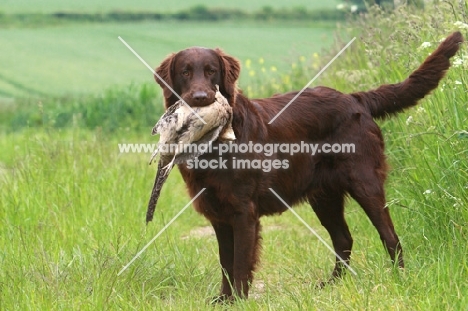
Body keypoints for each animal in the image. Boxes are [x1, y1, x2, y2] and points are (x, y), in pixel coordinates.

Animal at [153, 32, 460, 302]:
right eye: (185, 72)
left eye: (212, 71)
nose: (201, 98)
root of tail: (356, 98)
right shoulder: (218, 214)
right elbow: (225, 263)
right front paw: (223, 299)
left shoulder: (243, 212)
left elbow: (239, 264)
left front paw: (237, 300)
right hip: (324, 196)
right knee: (344, 238)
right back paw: (331, 285)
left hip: (365, 184)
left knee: (390, 237)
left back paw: (399, 279)